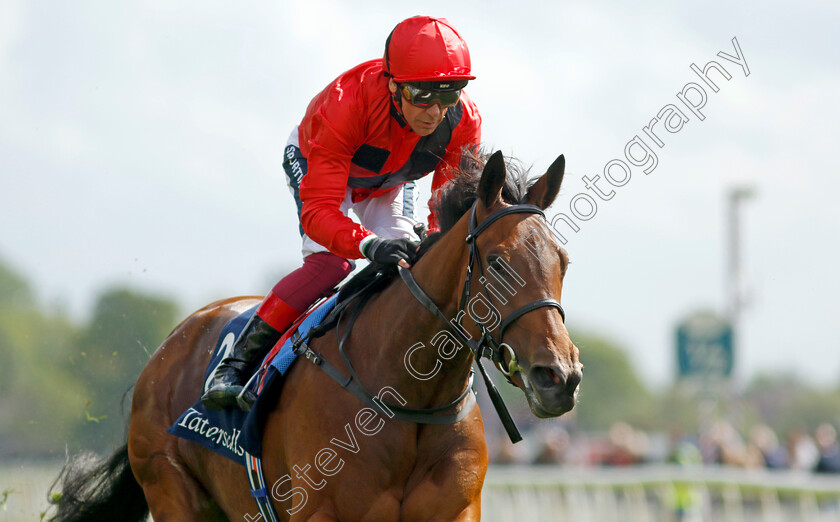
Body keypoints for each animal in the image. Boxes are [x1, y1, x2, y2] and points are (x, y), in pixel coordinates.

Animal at [49, 150, 580, 520]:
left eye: (563, 263)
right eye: (497, 262)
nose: (559, 376)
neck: (405, 396)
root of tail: (168, 348)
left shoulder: (456, 510)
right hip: (173, 492)